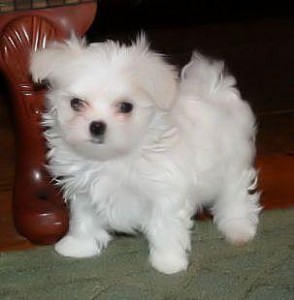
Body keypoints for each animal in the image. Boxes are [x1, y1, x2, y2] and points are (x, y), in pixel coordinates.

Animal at [30, 34, 262, 274]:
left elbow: (165, 228)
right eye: (76, 103)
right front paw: (77, 246)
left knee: (236, 196)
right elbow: (83, 220)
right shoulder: (83, 192)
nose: (96, 126)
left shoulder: (165, 193)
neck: (113, 158)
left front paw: (168, 262)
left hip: (232, 166)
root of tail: (216, 94)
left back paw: (239, 228)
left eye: (126, 106)